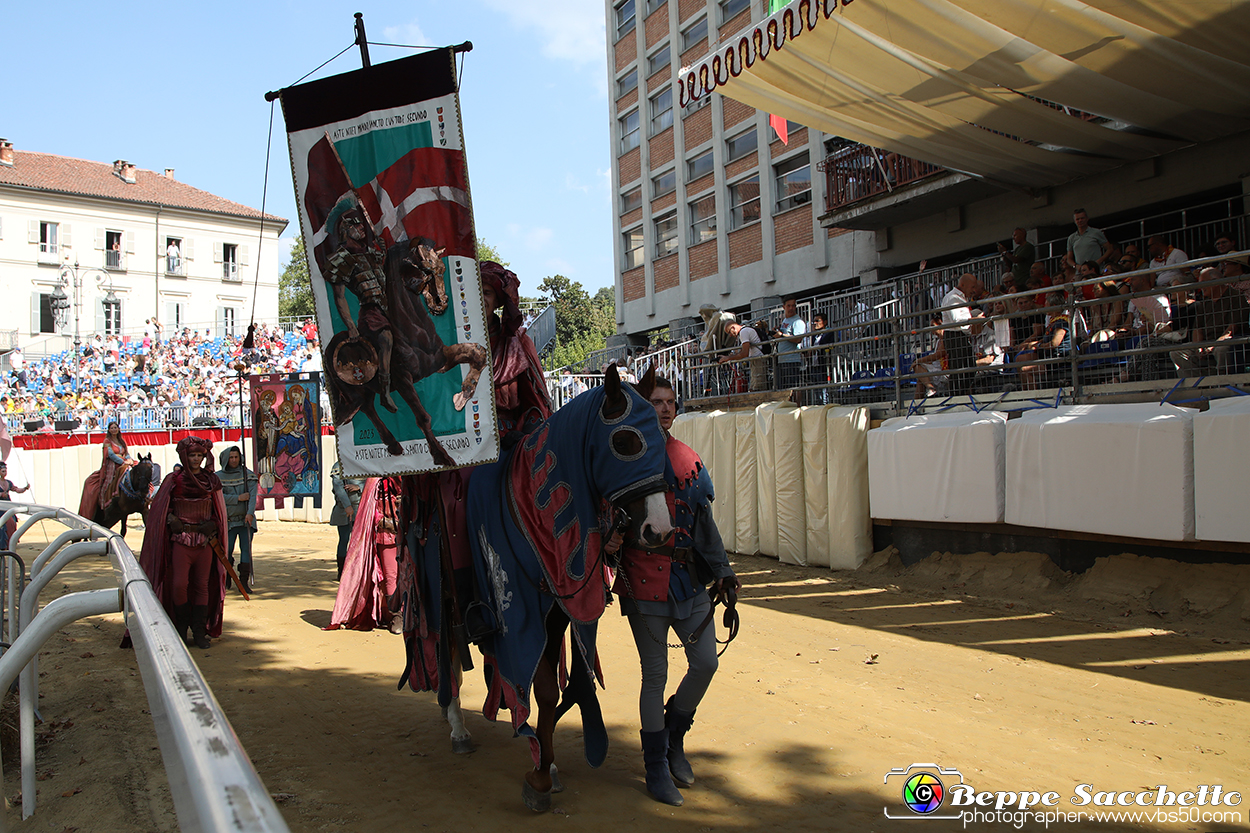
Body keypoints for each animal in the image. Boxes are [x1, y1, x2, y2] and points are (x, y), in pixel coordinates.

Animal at [397, 362, 675, 805]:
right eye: (625, 441)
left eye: (662, 442)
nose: (659, 530)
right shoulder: (523, 617)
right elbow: (542, 690)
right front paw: (540, 775)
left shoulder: (557, 615)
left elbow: (551, 695)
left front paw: (548, 764)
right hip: (439, 596)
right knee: (448, 651)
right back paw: (457, 724)